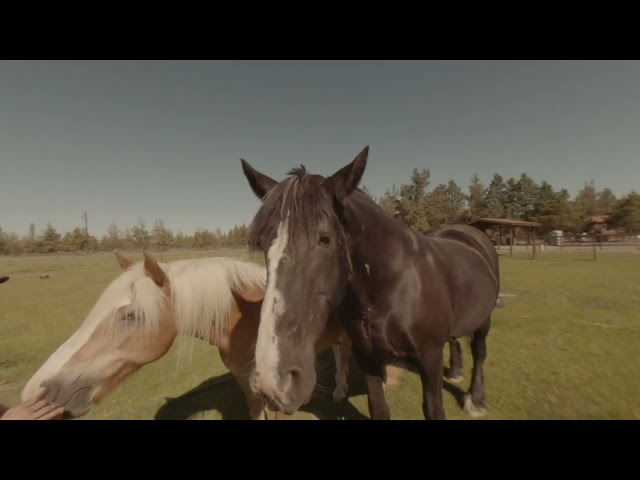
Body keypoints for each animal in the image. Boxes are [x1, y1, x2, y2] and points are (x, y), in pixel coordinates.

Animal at [239, 146, 500, 420]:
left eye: (325, 239)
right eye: (263, 243)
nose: (273, 382)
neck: (394, 287)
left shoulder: (430, 358)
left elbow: (433, 409)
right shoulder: (366, 355)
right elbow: (378, 407)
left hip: (484, 319)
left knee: (479, 352)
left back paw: (476, 400)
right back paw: (456, 371)